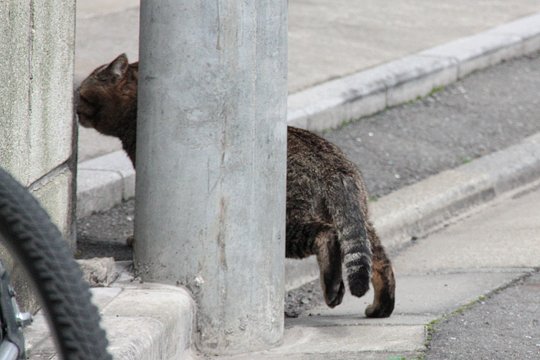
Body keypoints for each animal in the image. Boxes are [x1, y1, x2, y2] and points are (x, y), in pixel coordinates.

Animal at [76, 54, 394, 318]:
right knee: (379, 261)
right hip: (362, 223)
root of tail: (334, 167)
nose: (74, 106)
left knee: (326, 237)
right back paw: (379, 308)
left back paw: (332, 289)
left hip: (287, 225)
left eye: (81, 94)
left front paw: (134, 239)